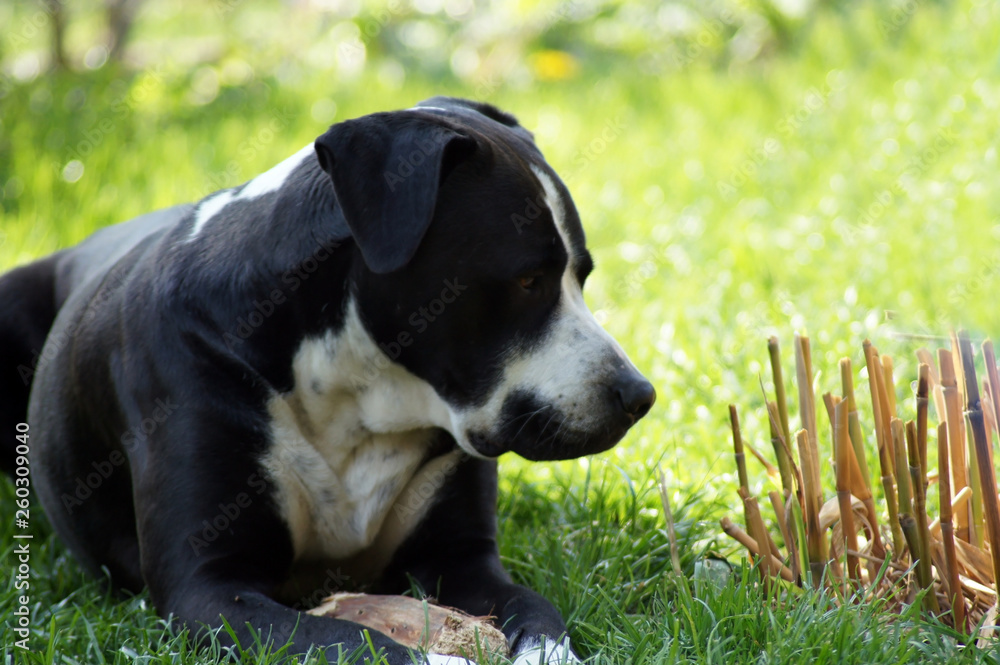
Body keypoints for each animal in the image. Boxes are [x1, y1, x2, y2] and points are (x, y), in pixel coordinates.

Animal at [1, 96, 656, 660]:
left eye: (582, 275)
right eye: (527, 280)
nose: (639, 396)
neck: (355, 390)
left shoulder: (461, 558)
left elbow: (538, 614)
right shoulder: (208, 587)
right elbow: (350, 640)